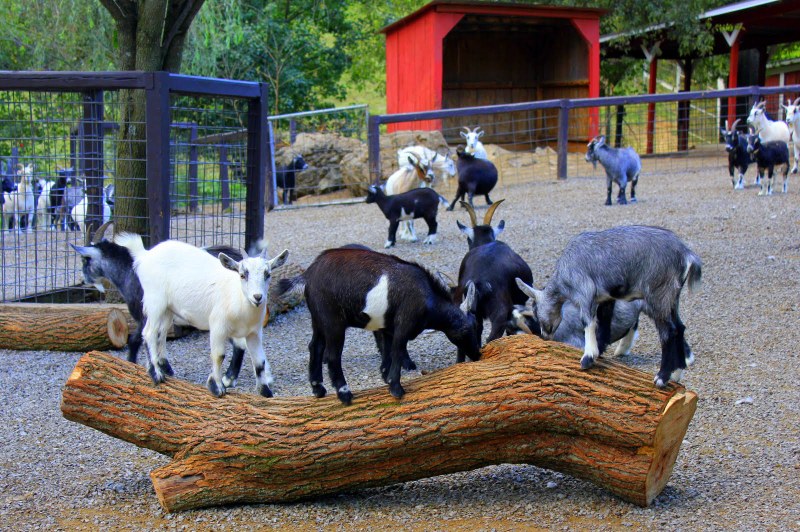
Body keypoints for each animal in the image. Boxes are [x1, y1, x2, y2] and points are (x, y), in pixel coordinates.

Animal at [115, 233, 290, 400]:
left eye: (268, 274)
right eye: (242, 275)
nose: (257, 297)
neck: (237, 297)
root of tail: (145, 255)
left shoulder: (254, 333)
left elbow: (259, 361)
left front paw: (266, 392)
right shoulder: (218, 326)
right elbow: (219, 355)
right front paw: (216, 387)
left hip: (168, 308)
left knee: (162, 331)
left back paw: (165, 367)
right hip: (155, 301)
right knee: (149, 332)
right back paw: (156, 373)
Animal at [280, 247, 482, 406]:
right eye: (468, 329)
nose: (477, 355)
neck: (428, 299)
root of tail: (308, 275)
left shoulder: (387, 328)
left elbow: (387, 352)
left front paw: (385, 377)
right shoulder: (404, 324)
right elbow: (398, 351)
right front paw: (396, 389)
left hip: (318, 319)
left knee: (315, 347)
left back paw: (318, 389)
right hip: (332, 320)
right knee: (332, 356)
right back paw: (344, 394)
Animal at [512, 224, 700, 386]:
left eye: (536, 313)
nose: (545, 335)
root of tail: (686, 254)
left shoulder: (584, 291)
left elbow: (588, 321)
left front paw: (588, 357)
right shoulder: (605, 298)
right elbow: (603, 323)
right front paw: (599, 352)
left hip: (657, 294)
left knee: (669, 332)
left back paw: (662, 377)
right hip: (672, 297)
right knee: (680, 327)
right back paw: (677, 373)